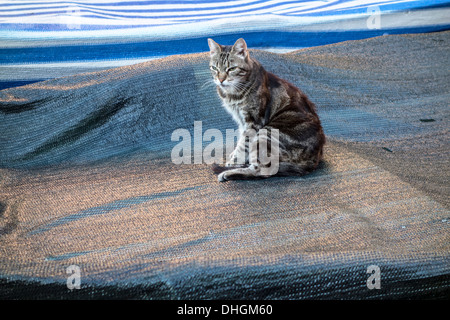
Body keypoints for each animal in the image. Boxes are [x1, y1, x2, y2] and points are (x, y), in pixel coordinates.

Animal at [207, 38, 324, 180]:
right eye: (214, 68)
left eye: (232, 68)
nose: (220, 79)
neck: (232, 94)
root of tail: (313, 161)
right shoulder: (241, 120)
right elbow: (241, 140)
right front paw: (236, 155)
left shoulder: (253, 121)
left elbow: (244, 143)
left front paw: (235, 160)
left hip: (267, 133)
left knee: (261, 171)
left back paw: (228, 173)